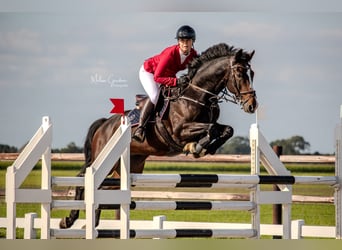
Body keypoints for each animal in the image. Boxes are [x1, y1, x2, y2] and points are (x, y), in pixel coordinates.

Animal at [59, 43, 256, 229]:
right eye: (239, 73)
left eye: (251, 73)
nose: (252, 105)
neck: (197, 95)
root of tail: (104, 124)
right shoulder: (179, 131)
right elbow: (212, 129)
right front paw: (197, 147)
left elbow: (226, 130)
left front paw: (207, 147)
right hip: (103, 158)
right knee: (84, 180)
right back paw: (68, 220)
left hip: (128, 166)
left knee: (104, 187)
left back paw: (91, 222)